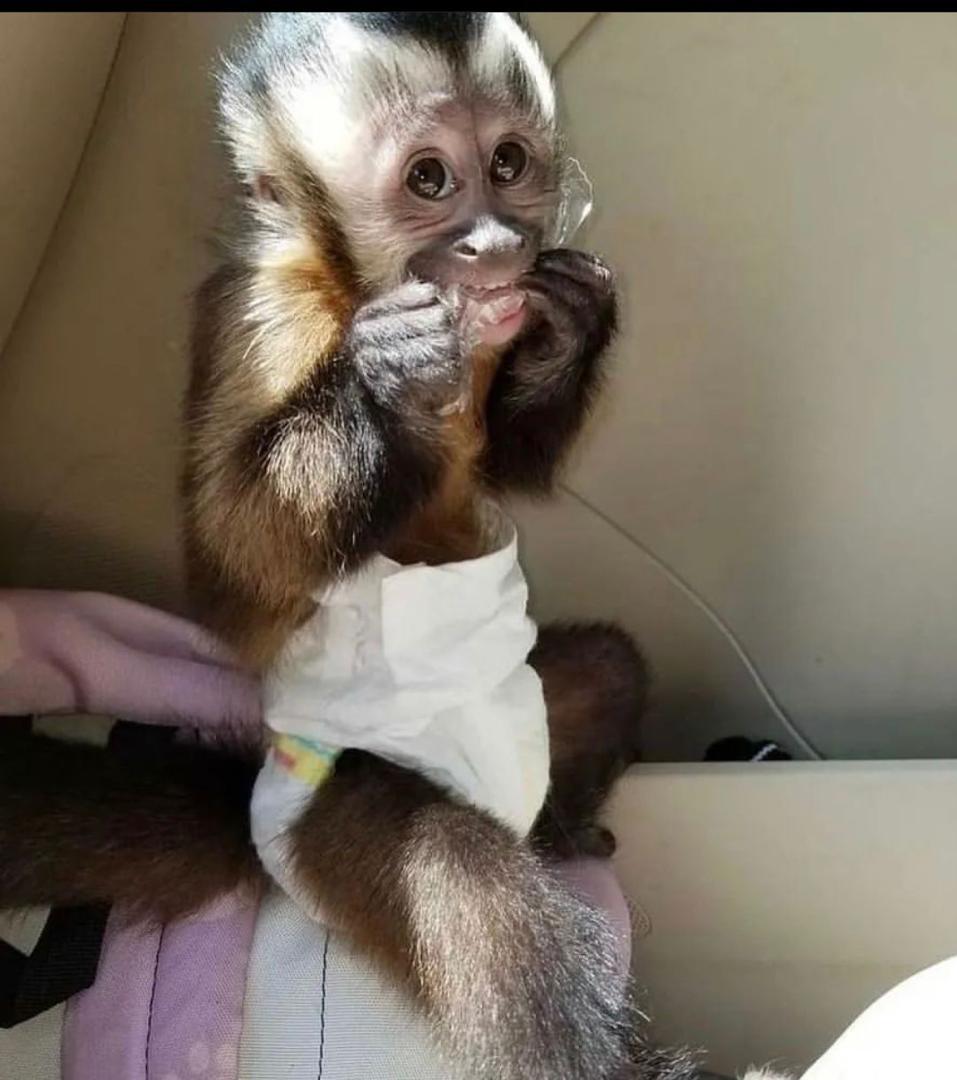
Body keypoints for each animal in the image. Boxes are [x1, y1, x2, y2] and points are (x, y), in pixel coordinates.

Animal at [0, 14, 696, 1080]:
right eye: (429, 179)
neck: (349, 285)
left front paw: (572, 329)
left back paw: (558, 823)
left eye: (507, 163)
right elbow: (234, 588)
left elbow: (513, 466)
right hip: (321, 819)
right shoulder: (260, 312)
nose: (499, 243)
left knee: (609, 671)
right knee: (462, 879)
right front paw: (388, 384)